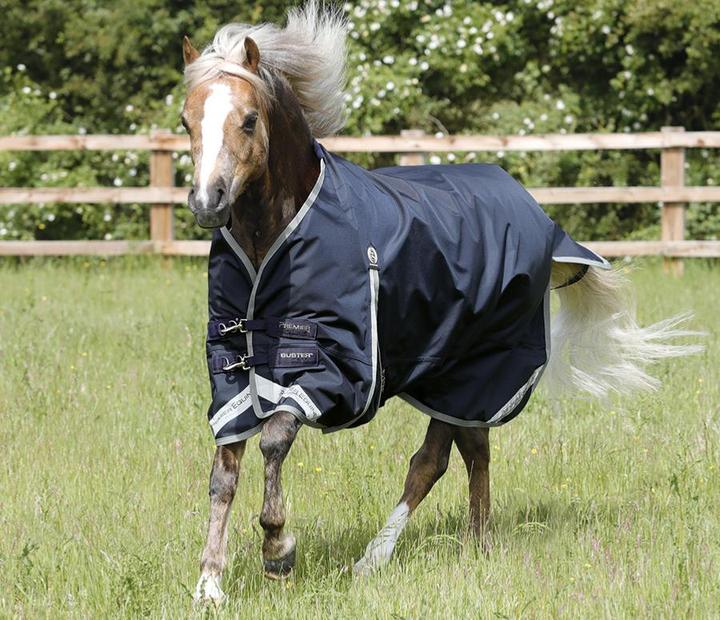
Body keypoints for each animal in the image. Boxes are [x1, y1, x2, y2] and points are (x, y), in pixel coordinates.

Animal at [180, 3, 698, 605]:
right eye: (186, 122)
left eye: (247, 121)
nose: (208, 202)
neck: (273, 245)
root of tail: (538, 215)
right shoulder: (233, 368)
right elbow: (224, 470)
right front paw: (209, 584)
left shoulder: (328, 369)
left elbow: (274, 441)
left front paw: (278, 551)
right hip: (451, 373)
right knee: (468, 451)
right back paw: (474, 541)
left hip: (476, 370)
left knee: (434, 460)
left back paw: (379, 558)